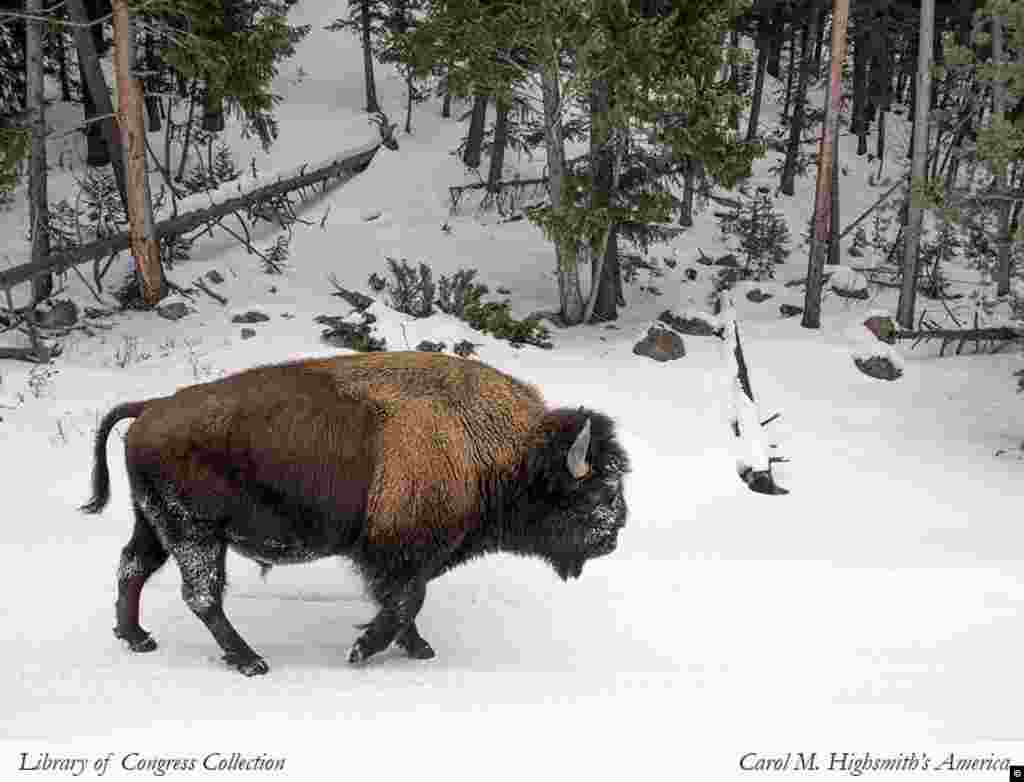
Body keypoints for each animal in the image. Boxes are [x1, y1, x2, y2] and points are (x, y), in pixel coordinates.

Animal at [82, 351, 630, 675]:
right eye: (595, 492)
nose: (613, 535)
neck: (497, 448)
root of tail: (150, 407)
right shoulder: (396, 553)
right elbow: (405, 601)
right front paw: (363, 650)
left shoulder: (407, 558)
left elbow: (406, 602)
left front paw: (418, 648)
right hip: (195, 533)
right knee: (201, 595)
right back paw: (250, 660)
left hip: (157, 524)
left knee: (133, 567)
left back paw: (137, 638)